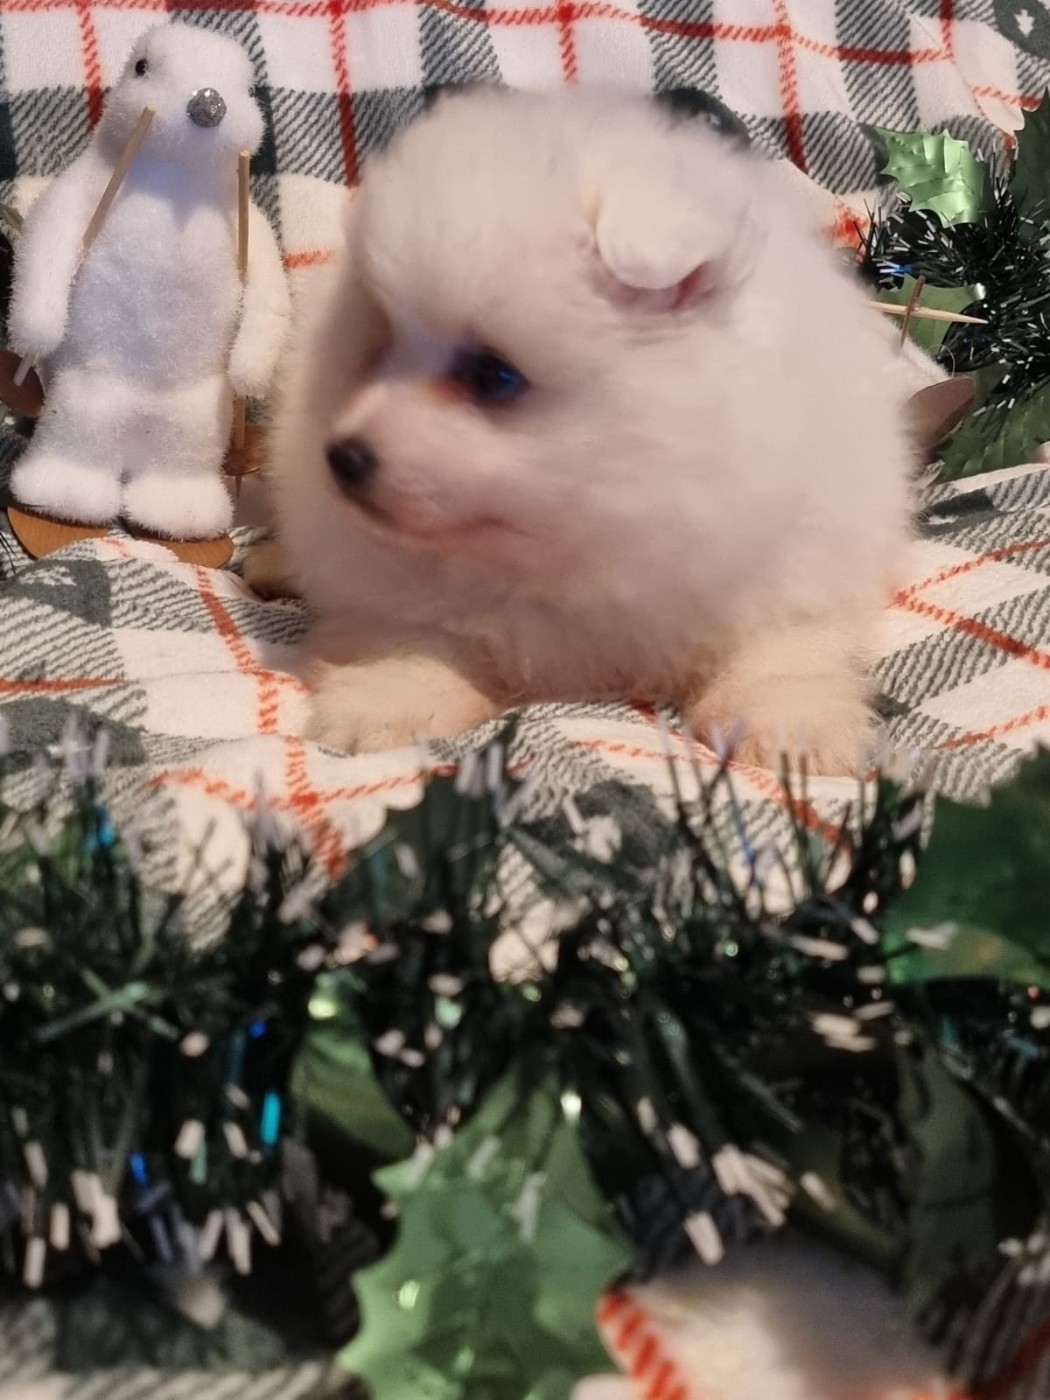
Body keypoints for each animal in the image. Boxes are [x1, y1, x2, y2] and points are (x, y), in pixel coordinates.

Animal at [250, 86, 914, 772]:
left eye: (493, 375)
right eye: (379, 346)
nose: (343, 457)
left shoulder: (799, 556)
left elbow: (784, 648)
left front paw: (794, 725)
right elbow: (412, 631)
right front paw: (386, 698)